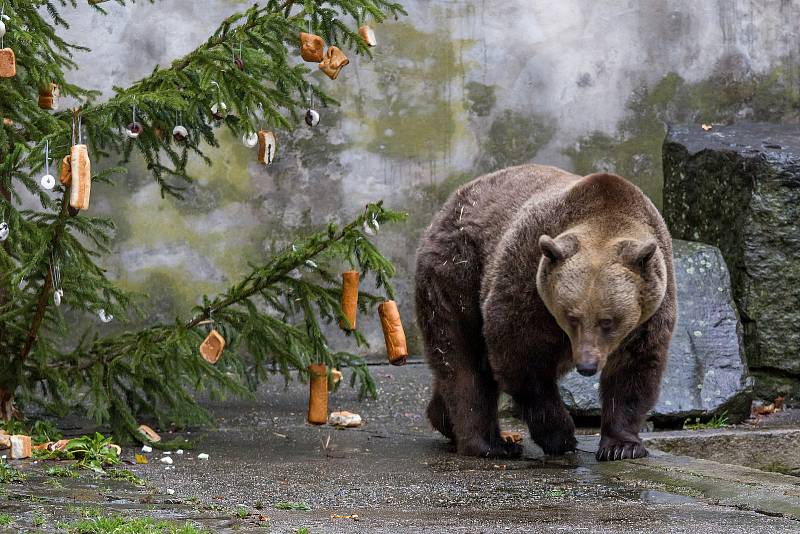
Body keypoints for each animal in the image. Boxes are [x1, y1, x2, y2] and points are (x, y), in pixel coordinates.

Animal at [418, 165, 676, 462]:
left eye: (608, 321)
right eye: (572, 316)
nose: (587, 366)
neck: (605, 215)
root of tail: (451, 203)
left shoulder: (650, 309)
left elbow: (635, 368)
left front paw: (622, 446)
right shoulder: (529, 279)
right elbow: (521, 356)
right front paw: (561, 436)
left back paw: (442, 418)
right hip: (459, 271)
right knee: (462, 358)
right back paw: (491, 444)